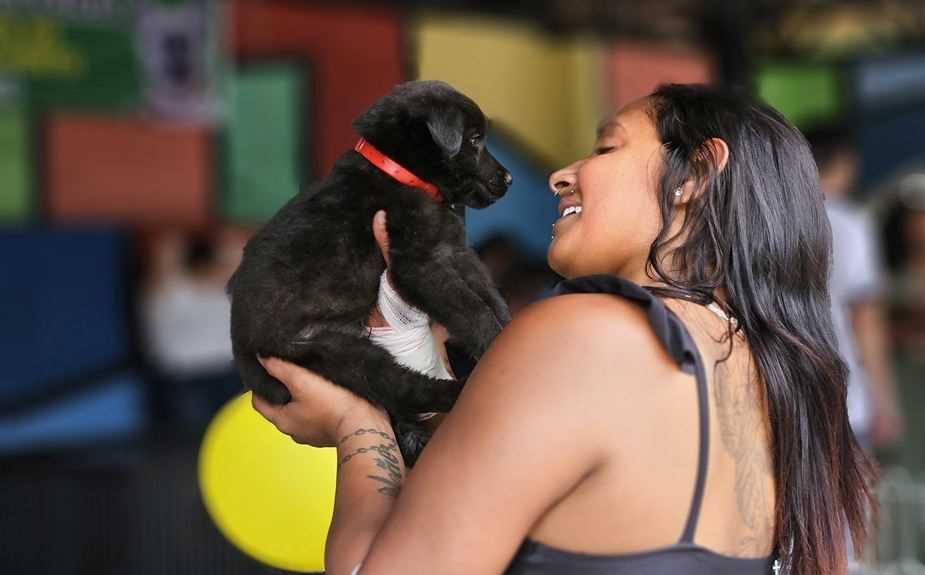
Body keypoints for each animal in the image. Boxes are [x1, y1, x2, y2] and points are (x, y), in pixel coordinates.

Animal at [227, 81, 512, 465]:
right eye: (474, 140)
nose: (509, 179)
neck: (402, 174)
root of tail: (243, 357)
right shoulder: (419, 266)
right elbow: (473, 311)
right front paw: (497, 345)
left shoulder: (456, 251)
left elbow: (489, 297)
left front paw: (512, 330)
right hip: (337, 354)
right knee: (401, 387)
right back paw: (456, 393)